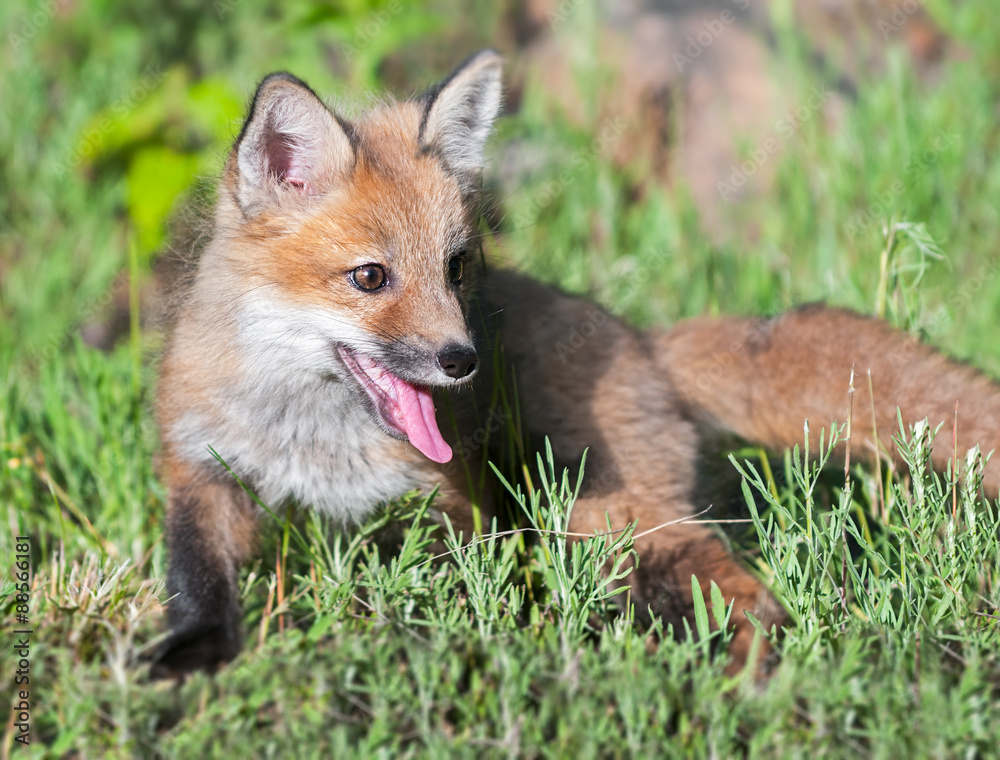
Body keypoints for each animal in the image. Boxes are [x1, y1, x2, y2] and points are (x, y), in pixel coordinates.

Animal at [152, 50, 1000, 672]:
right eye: (370, 278)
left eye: (456, 267)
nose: (461, 361)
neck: (309, 437)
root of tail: (643, 339)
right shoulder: (200, 468)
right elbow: (198, 575)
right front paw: (194, 656)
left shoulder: (446, 502)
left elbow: (449, 592)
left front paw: (424, 648)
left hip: (607, 520)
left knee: (742, 590)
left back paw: (745, 676)